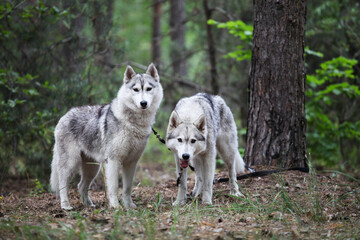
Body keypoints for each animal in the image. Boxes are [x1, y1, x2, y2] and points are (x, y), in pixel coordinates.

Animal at [50, 62, 163, 209]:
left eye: (149, 89)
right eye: (136, 89)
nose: (143, 103)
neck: (134, 123)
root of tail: (64, 115)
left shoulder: (131, 162)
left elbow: (127, 188)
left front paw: (129, 206)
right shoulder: (113, 161)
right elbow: (113, 187)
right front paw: (116, 207)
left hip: (93, 168)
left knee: (81, 186)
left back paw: (89, 205)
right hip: (71, 163)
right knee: (63, 185)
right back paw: (66, 206)